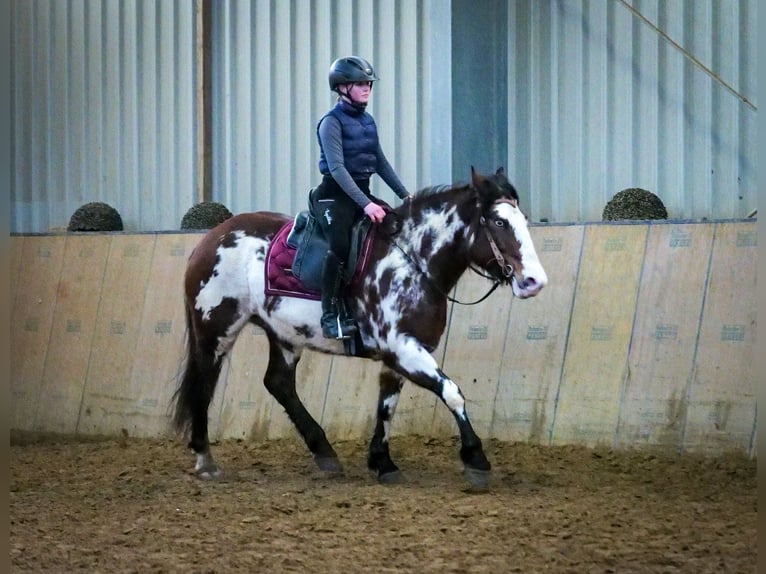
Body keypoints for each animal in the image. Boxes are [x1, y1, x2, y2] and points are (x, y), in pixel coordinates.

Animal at [172, 166, 548, 490]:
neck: (411, 261)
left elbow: (387, 405)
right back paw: (205, 459)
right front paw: (476, 459)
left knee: (278, 383)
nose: (534, 282)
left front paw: (383, 462)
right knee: (204, 384)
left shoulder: (400, 355)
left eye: (523, 220)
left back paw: (325, 453)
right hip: (216, 330)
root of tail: (212, 238)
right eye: (499, 221)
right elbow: (452, 392)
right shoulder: (404, 349)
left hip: (284, 335)